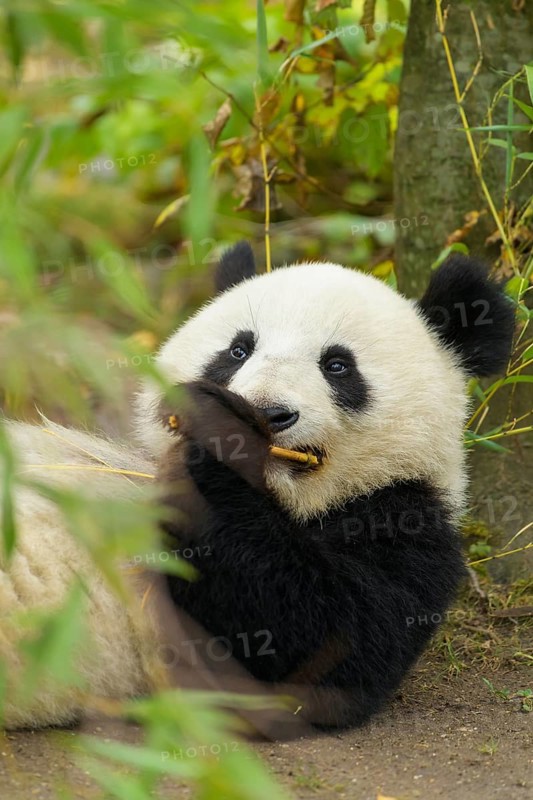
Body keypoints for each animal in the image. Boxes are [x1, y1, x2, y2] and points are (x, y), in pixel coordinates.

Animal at [0, 243, 515, 730]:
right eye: (238, 351)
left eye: (337, 366)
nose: (267, 413)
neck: (287, 501)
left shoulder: (405, 518)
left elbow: (324, 640)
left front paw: (223, 434)